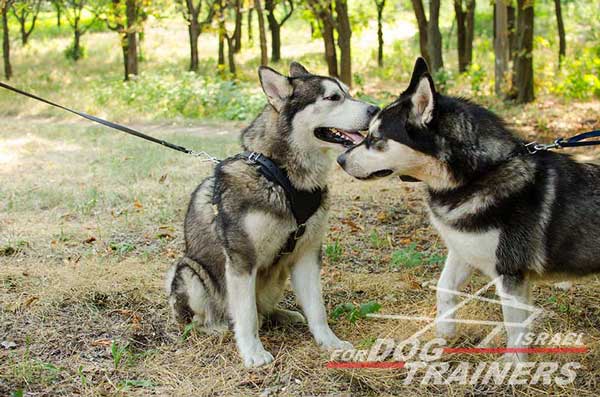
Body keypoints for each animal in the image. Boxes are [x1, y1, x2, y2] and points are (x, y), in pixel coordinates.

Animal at [166, 62, 378, 368]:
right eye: (332, 97)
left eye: (347, 93)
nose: (376, 109)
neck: (282, 176)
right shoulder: (242, 260)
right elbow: (246, 315)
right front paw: (253, 352)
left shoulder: (307, 254)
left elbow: (317, 308)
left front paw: (329, 341)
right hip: (189, 271)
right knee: (206, 317)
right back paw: (217, 326)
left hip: (277, 276)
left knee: (264, 311)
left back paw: (284, 315)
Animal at [340, 57, 600, 360]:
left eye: (375, 138)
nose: (340, 159)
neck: (478, 175)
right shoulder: (463, 250)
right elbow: (444, 288)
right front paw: (445, 330)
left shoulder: (510, 274)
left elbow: (513, 326)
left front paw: (513, 364)